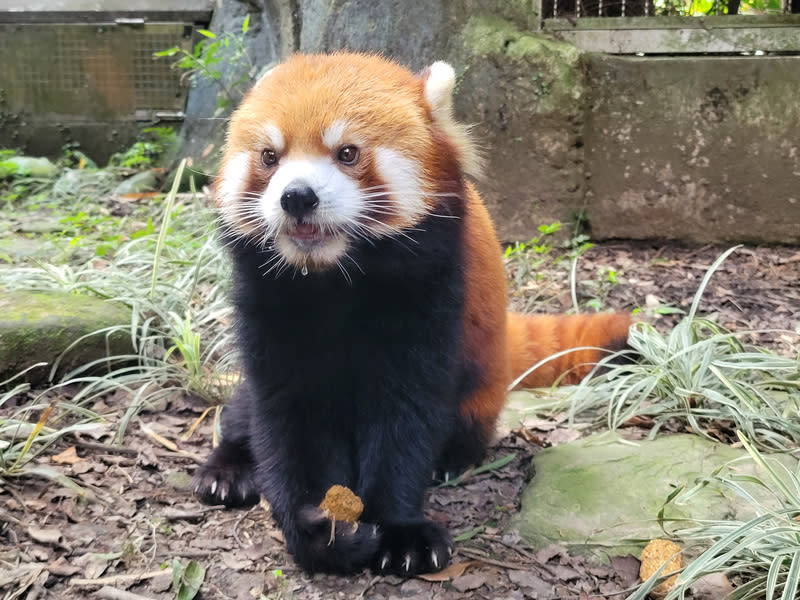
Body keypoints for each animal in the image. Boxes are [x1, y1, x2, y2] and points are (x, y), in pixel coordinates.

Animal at [194, 54, 632, 580]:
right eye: (269, 157)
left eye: (347, 153)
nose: (296, 196)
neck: (333, 279)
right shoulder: (271, 305)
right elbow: (285, 413)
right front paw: (318, 528)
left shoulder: (429, 295)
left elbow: (406, 415)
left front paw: (400, 531)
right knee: (245, 410)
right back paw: (228, 470)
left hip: (480, 384)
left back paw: (449, 460)